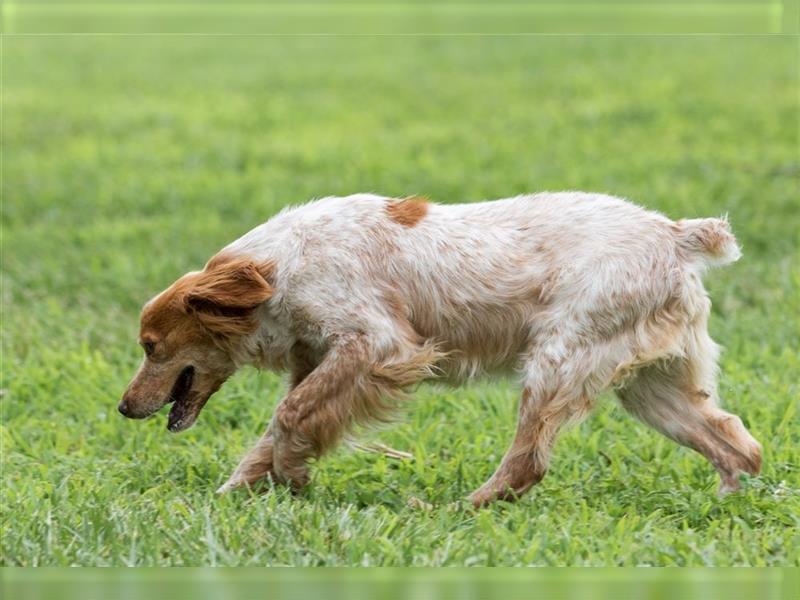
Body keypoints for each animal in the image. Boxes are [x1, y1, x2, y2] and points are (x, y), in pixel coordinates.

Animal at [120, 195, 764, 504]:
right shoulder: (320, 360)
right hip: (651, 390)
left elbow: (288, 416)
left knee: (527, 464)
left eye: (151, 346)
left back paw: (455, 508)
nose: (123, 408)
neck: (279, 268)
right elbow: (275, 431)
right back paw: (729, 503)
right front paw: (233, 495)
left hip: (556, 362)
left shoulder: (378, 344)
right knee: (740, 445)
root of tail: (674, 235)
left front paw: (292, 475)